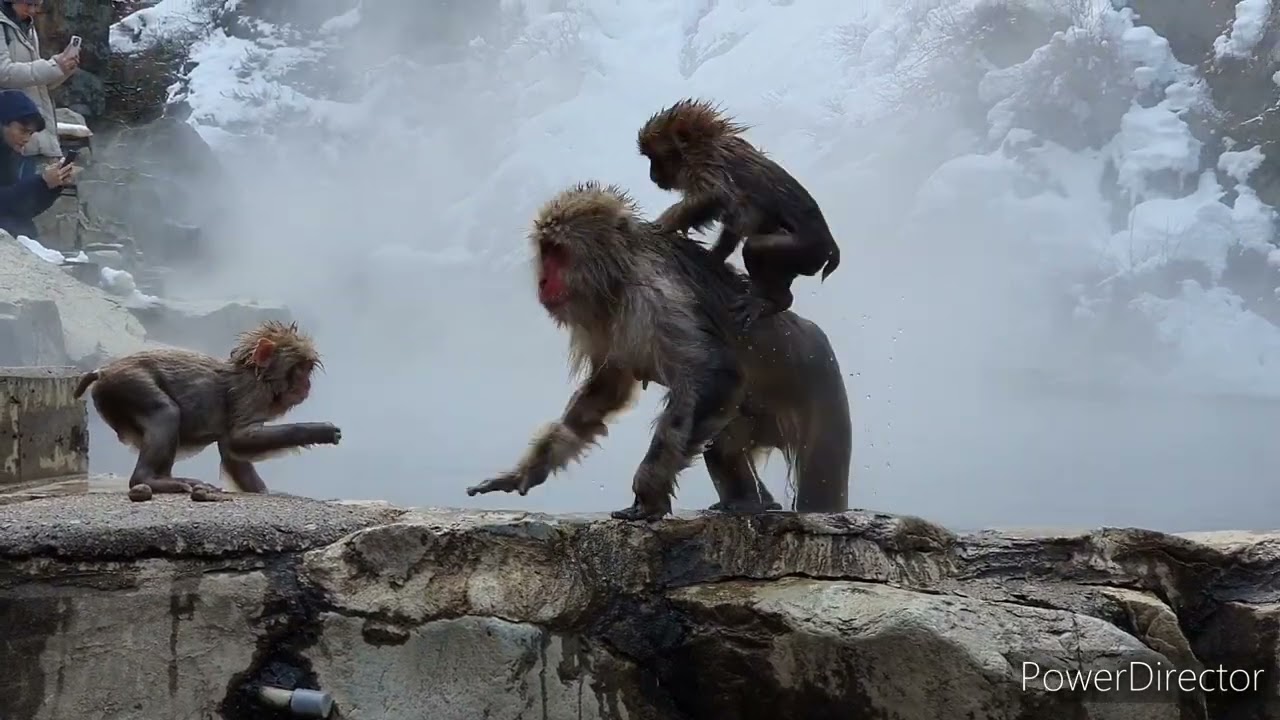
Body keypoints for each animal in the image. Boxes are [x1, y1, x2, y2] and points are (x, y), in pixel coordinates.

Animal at [73, 320, 342, 500]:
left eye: (308, 368)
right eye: (301, 369)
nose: (306, 384)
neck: (258, 375)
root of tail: (102, 371)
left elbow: (233, 453)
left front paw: (262, 491)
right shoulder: (249, 395)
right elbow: (240, 439)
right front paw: (320, 431)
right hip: (127, 383)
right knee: (165, 412)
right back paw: (150, 480)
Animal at [465, 181, 852, 518]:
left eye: (558, 252)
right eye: (544, 252)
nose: (543, 281)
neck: (619, 277)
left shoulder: (655, 297)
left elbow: (716, 373)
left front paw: (648, 493)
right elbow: (605, 389)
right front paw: (529, 470)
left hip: (822, 389)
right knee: (722, 439)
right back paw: (749, 503)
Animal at [637, 97, 841, 327]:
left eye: (655, 158)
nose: (652, 175)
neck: (705, 145)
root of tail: (831, 248)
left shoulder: (710, 167)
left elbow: (710, 198)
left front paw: (662, 225)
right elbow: (733, 226)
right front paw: (715, 258)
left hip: (806, 252)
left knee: (755, 248)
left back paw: (772, 301)